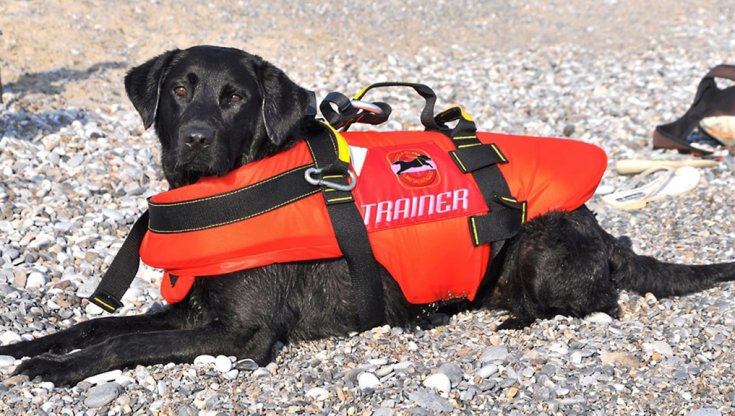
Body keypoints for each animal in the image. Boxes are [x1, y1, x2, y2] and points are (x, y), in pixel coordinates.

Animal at [4, 44, 735, 386]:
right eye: (181, 89)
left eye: (235, 97)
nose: (196, 138)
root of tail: (602, 231)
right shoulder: (187, 311)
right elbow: (98, 326)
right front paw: (32, 346)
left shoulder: (238, 333)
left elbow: (121, 343)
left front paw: (60, 371)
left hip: (543, 247)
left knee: (593, 299)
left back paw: (501, 314)